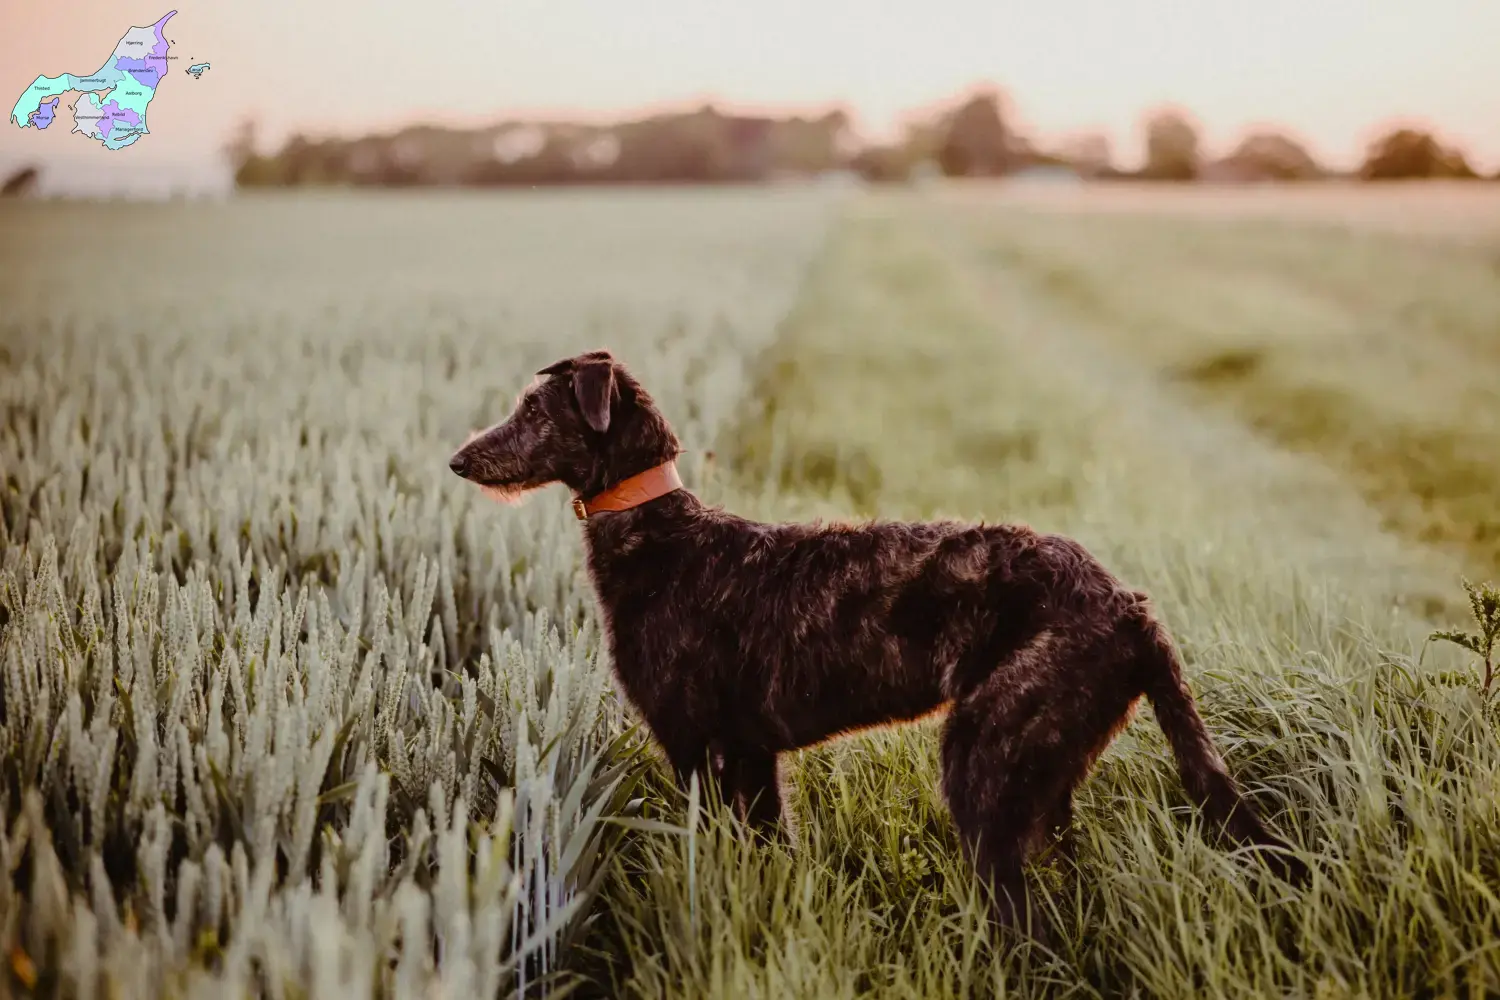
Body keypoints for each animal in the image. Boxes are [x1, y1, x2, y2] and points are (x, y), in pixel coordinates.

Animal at [444, 350, 1302, 929]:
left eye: (534, 409)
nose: (456, 458)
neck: (664, 537)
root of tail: (1131, 607)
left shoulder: (696, 750)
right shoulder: (752, 758)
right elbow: (771, 851)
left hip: (985, 762)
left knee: (1021, 916)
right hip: (1047, 777)